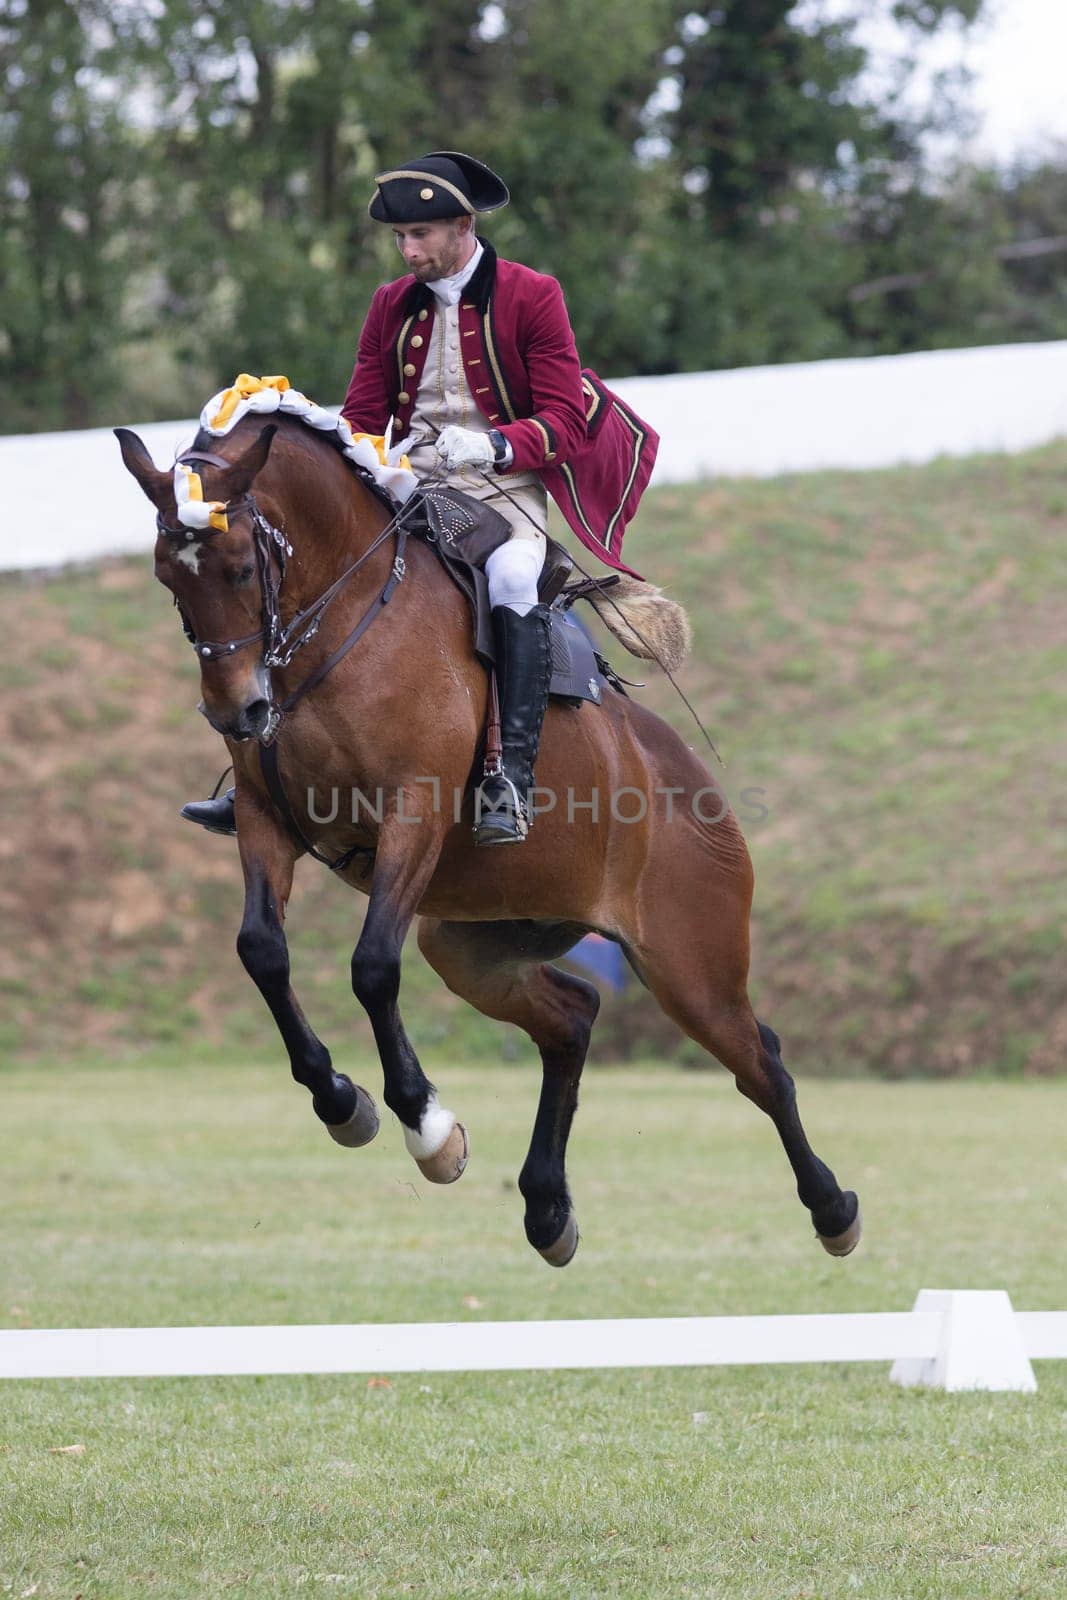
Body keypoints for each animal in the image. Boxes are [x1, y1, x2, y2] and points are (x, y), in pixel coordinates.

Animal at [119, 419, 870, 1267]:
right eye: (167, 579)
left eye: (242, 568)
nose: (237, 712)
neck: (340, 622)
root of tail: (699, 788)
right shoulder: (263, 816)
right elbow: (262, 951)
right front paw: (341, 1100)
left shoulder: (412, 811)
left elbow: (371, 967)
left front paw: (426, 1126)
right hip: (473, 944)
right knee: (571, 1017)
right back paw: (547, 1208)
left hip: (689, 967)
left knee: (760, 1064)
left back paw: (832, 1209)